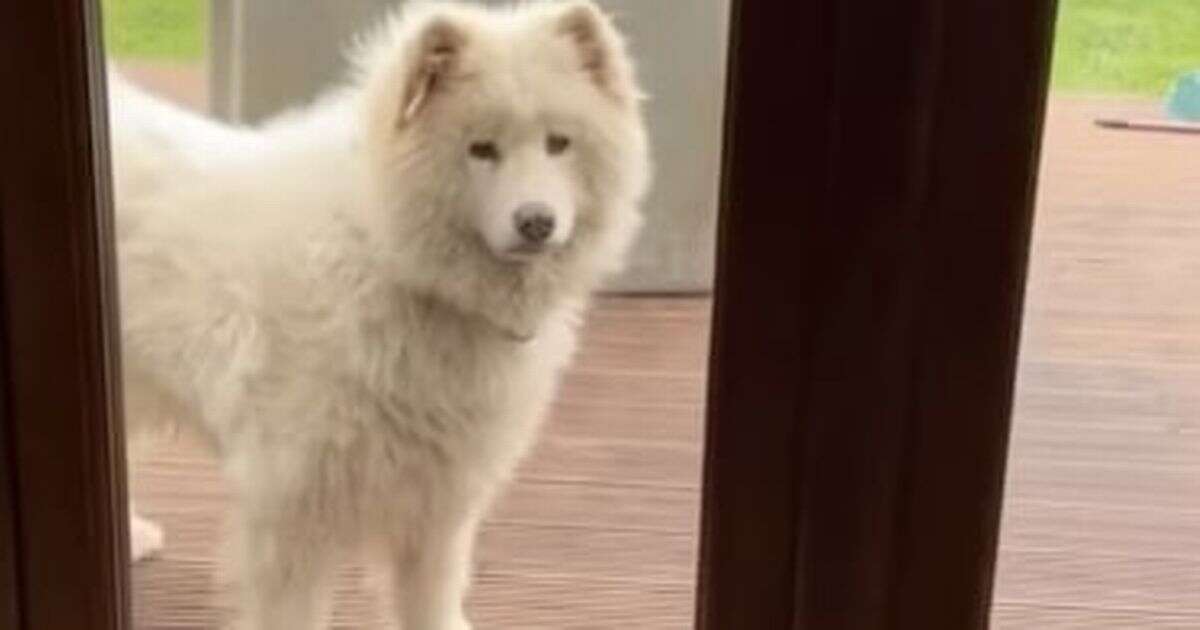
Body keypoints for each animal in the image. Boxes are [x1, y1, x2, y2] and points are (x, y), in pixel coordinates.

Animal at [112, 2, 652, 624]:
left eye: (558, 143)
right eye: (481, 149)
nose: (536, 221)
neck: (386, 252)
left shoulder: (440, 499)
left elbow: (432, 599)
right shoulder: (291, 505)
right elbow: (291, 613)